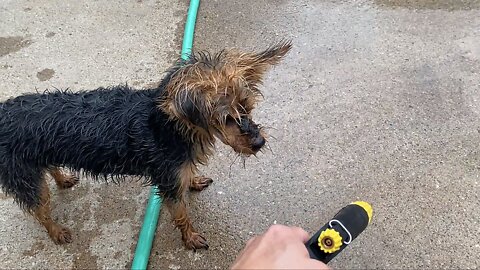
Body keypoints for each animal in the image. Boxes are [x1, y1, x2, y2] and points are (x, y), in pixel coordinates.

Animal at [0, 41, 292, 250]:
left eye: (248, 108)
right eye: (226, 119)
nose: (259, 142)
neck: (171, 127)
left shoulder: (175, 171)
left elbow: (188, 179)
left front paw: (194, 181)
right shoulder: (168, 181)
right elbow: (182, 214)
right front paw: (190, 238)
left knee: (49, 170)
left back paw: (62, 179)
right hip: (24, 175)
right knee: (40, 210)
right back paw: (57, 231)